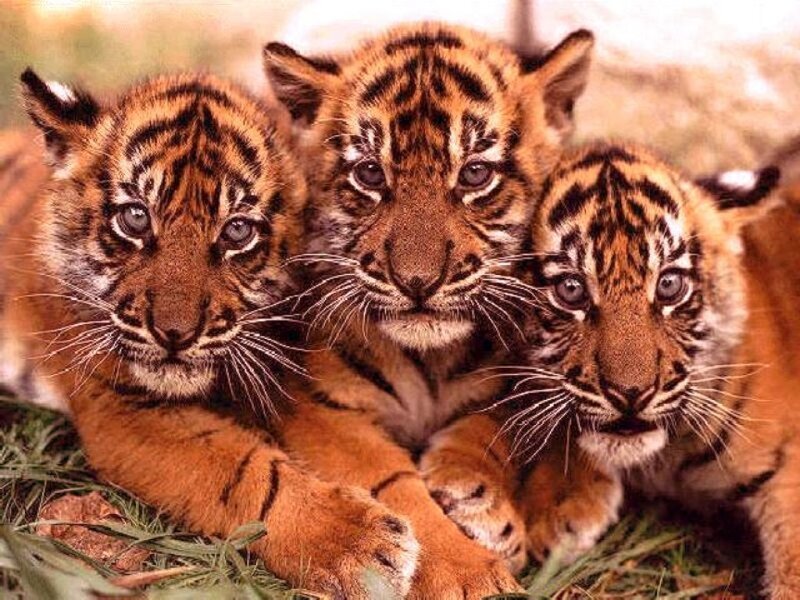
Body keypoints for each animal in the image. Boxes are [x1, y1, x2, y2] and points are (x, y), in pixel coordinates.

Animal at [0, 70, 424, 597]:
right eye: (135, 218)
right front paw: (364, 547)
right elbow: (246, 474)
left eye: (237, 231)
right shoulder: (122, 406)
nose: (174, 334)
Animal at [262, 22, 594, 598]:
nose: (417, 281)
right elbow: (393, 486)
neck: (429, 360)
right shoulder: (321, 407)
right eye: (370, 174)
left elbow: (488, 431)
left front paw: (477, 496)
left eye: (475, 174)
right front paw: (467, 575)